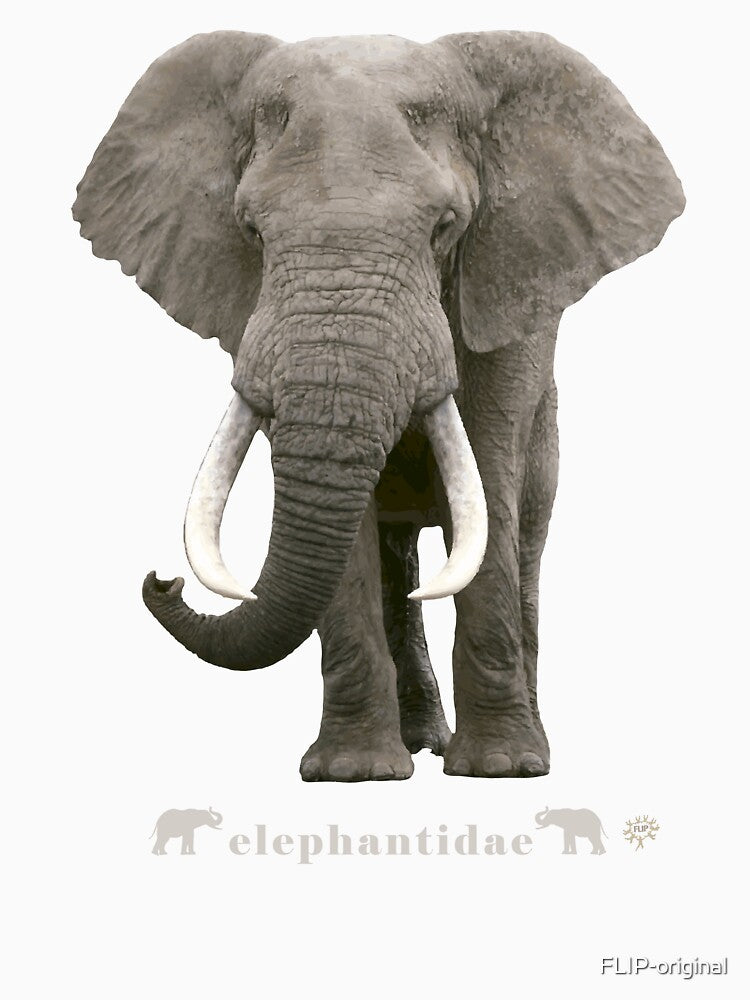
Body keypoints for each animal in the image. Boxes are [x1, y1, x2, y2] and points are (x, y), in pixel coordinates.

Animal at [73, 31, 684, 782]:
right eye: (251, 232)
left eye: (445, 227)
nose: (162, 581)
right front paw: (352, 773)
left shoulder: (510, 295)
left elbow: (490, 477)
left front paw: (502, 768)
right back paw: (418, 740)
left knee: (523, 537)